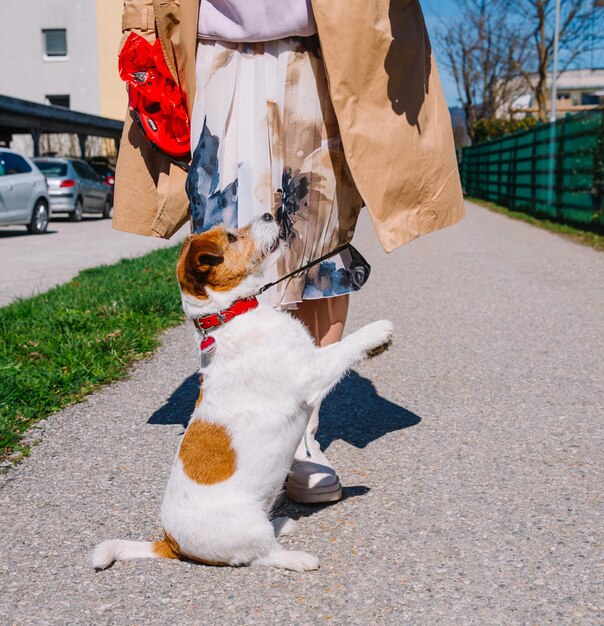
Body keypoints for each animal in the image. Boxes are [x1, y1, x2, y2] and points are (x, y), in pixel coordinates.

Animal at [89, 214, 392, 572]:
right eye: (232, 238)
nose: (269, 214)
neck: (231, 315)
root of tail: (169, 543)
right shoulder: (309, 375)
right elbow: (343, 349)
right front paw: (376, 332)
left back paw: (282, 523)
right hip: (248, 527)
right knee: (261, 555)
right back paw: (298, 557)